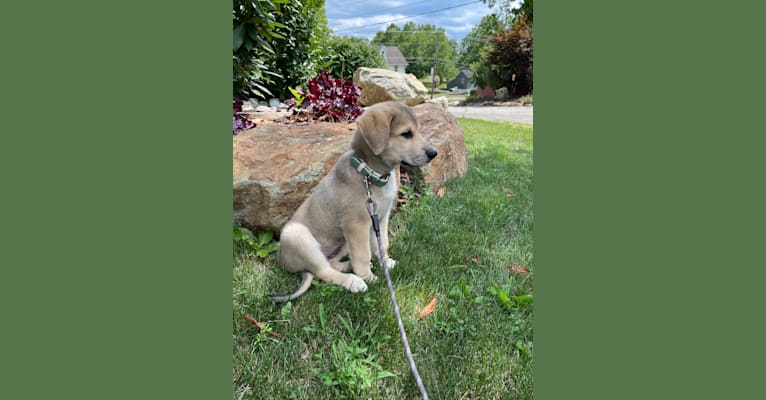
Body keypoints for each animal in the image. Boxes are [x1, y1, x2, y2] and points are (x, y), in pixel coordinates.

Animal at [270, 101, 438, 302]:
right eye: (406, 134)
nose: (434, 153)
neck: (370, 174)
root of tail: (282, 259)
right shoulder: (357, 225)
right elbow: (363, 254)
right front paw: (368, 277)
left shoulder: (380, 219)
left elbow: (382, 245)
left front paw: (386, 263)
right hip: (298, 235)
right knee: (323, 271)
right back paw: (354, 281)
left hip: (341, 241)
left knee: (332, 263)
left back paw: (348, 266)